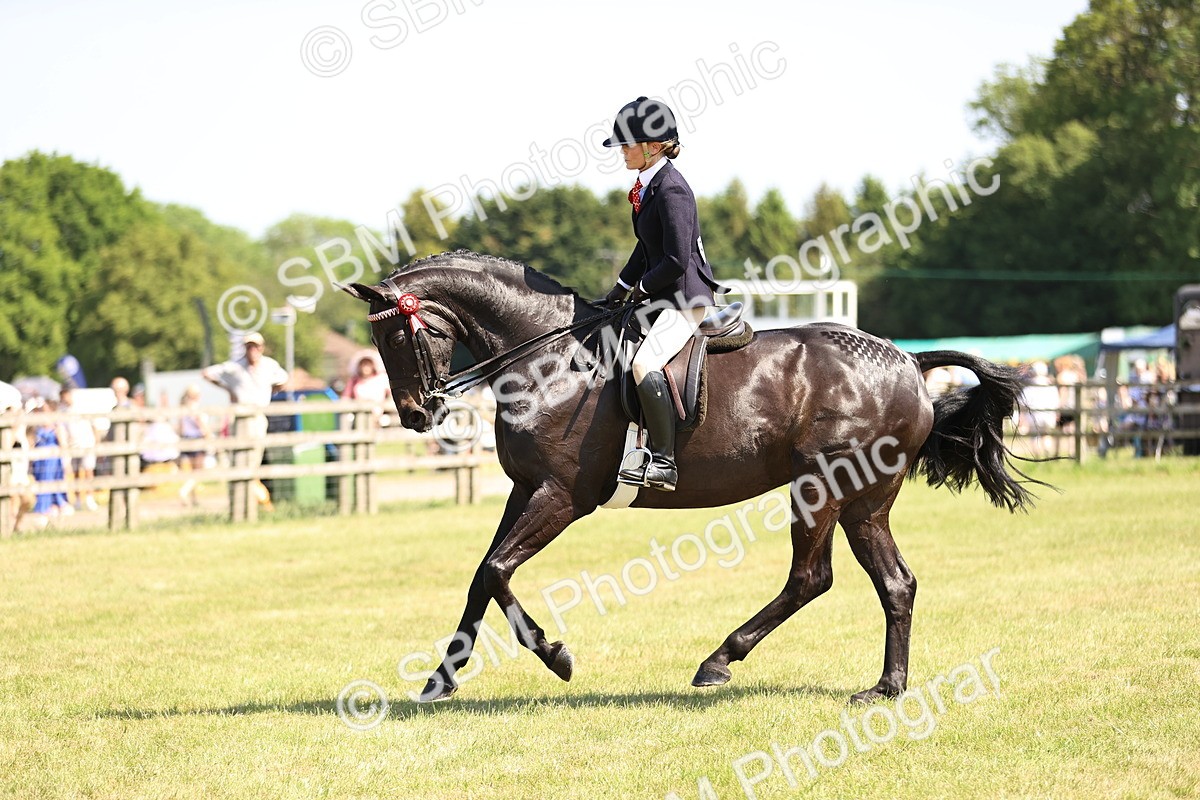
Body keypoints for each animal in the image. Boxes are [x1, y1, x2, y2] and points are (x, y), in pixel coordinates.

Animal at [341, 250, 1037, 704]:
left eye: (397, 339)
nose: (416, 414)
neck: (547, 356)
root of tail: (908, 361)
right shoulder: (524, 489)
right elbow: (481, 577)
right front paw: (440, 679)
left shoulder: (562, 496)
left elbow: (497, 571)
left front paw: (556, 656)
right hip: (864, 503)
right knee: (894, 582)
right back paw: (886, 687)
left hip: (822, 490)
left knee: (812, 577)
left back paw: (719, 662)